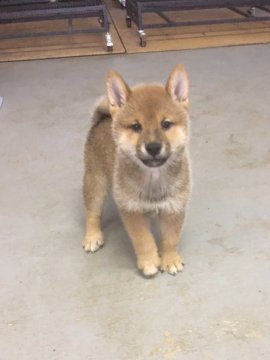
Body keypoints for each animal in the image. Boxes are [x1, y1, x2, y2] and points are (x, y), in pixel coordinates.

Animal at [83, 64, 191, 278]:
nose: (153, 147)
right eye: (136, 126)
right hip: (95, 182)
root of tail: (102, 119)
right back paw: (92, 236)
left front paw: (170, 260)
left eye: (166, 124)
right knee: (92, 212)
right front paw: (149, 262)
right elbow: (144, 240)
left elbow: (171, 239)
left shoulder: (174, 208)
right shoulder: (132, 211)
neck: (153, 178)